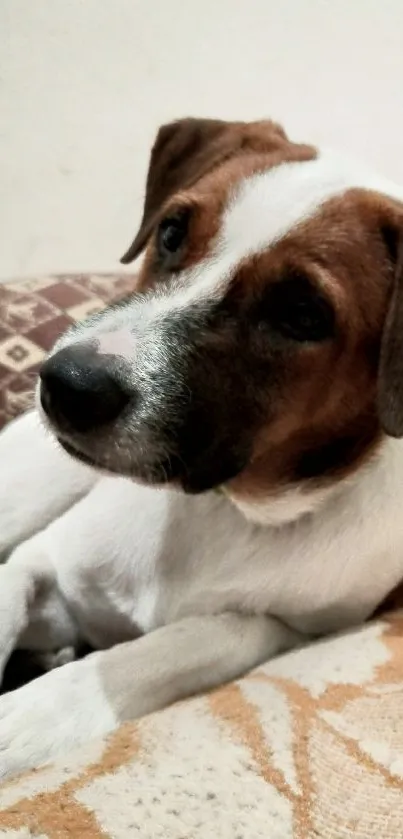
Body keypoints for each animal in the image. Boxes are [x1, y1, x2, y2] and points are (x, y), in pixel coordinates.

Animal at [0, 116, 403, 780]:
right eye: (170, 232)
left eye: (301, 313)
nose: (66, 387)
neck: (220, 508)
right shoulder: (48, 564)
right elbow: (7, 587)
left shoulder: (291, 628)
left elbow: (195, 640)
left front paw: (33, 716)